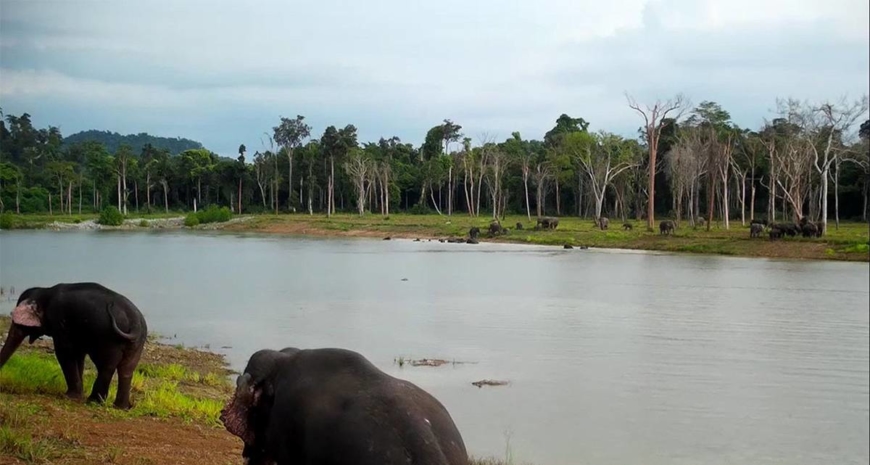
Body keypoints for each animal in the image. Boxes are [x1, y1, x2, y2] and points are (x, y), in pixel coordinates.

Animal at [0, 280, 148, 408]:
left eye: (17, 325)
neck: (45, 291)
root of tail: (134, 323)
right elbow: (79, 355)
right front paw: (78, 393)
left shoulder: (60, 322)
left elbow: (64, 352)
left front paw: (70, 396)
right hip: (136, 342)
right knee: (126, 370)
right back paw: (121, 407)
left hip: (109, 338)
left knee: (106, 366)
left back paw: (93, 401)